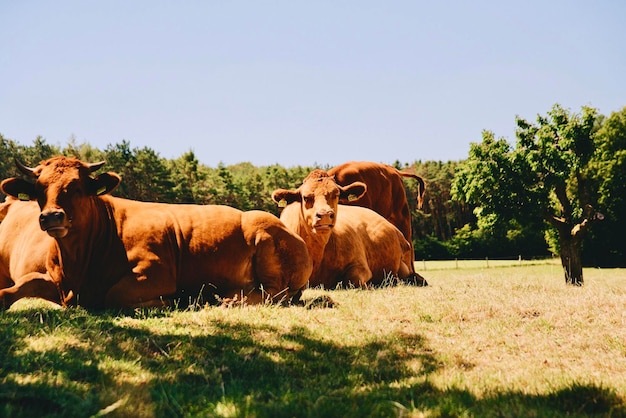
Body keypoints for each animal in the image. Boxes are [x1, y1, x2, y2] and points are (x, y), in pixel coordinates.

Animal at [0, 157, 312, 310]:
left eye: (76, 186)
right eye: (39, 189)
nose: (51, 216)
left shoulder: (155, 271)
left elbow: (115, 295)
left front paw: (172, 300)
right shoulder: (55, 280)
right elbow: (18, 287)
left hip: (266, 241)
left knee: (275, 293)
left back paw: (225, 299)